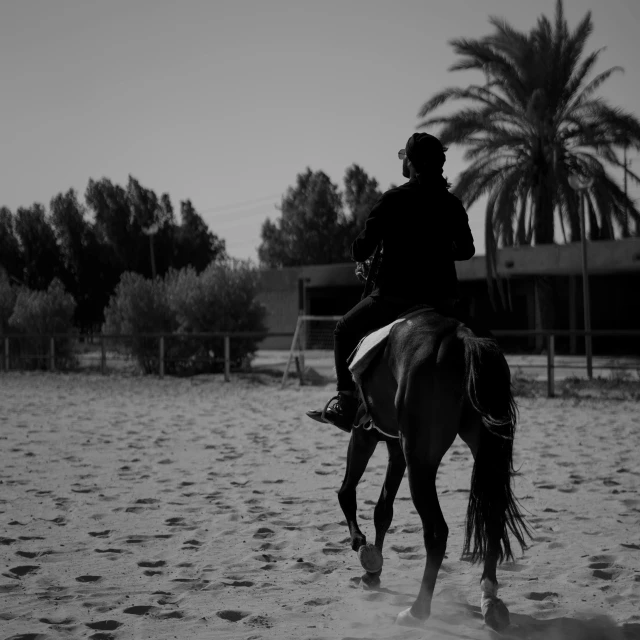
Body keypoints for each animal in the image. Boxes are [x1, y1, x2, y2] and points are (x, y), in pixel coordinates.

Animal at [336, 310, 528, 632]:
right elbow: (383, 510)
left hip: (420, 461)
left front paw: (363, 549)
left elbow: (347, 492)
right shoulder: (395, 447)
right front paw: (373, 571)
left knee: (437, 532)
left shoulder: (365, 434)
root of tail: (464, 339)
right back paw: (490, 602)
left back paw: (417, 611)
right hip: (484, 451)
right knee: (493, 517)